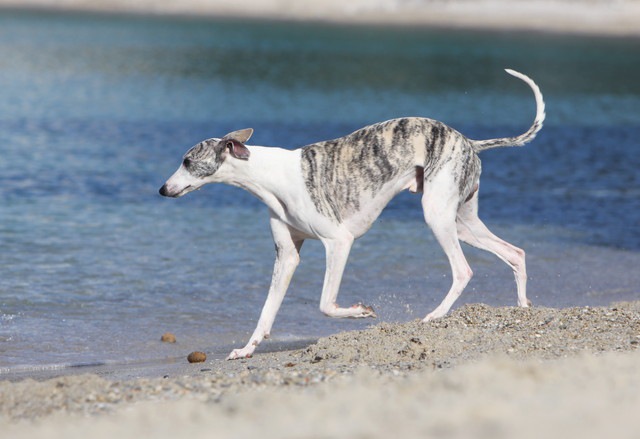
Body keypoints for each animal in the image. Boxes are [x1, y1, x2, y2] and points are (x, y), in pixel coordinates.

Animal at [160, 69, 544, 360]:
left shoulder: (338, 242)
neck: (270, 174)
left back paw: (434, 316)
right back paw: (523, 310)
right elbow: (266, 312)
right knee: (516, 253)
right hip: (462, 220)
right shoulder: (286, 255)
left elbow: (325, 304)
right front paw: (246, 349)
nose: (162, 190)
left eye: (187, 161)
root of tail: (468, 141)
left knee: (463, 270)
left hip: (436, 215)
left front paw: (362, 311)